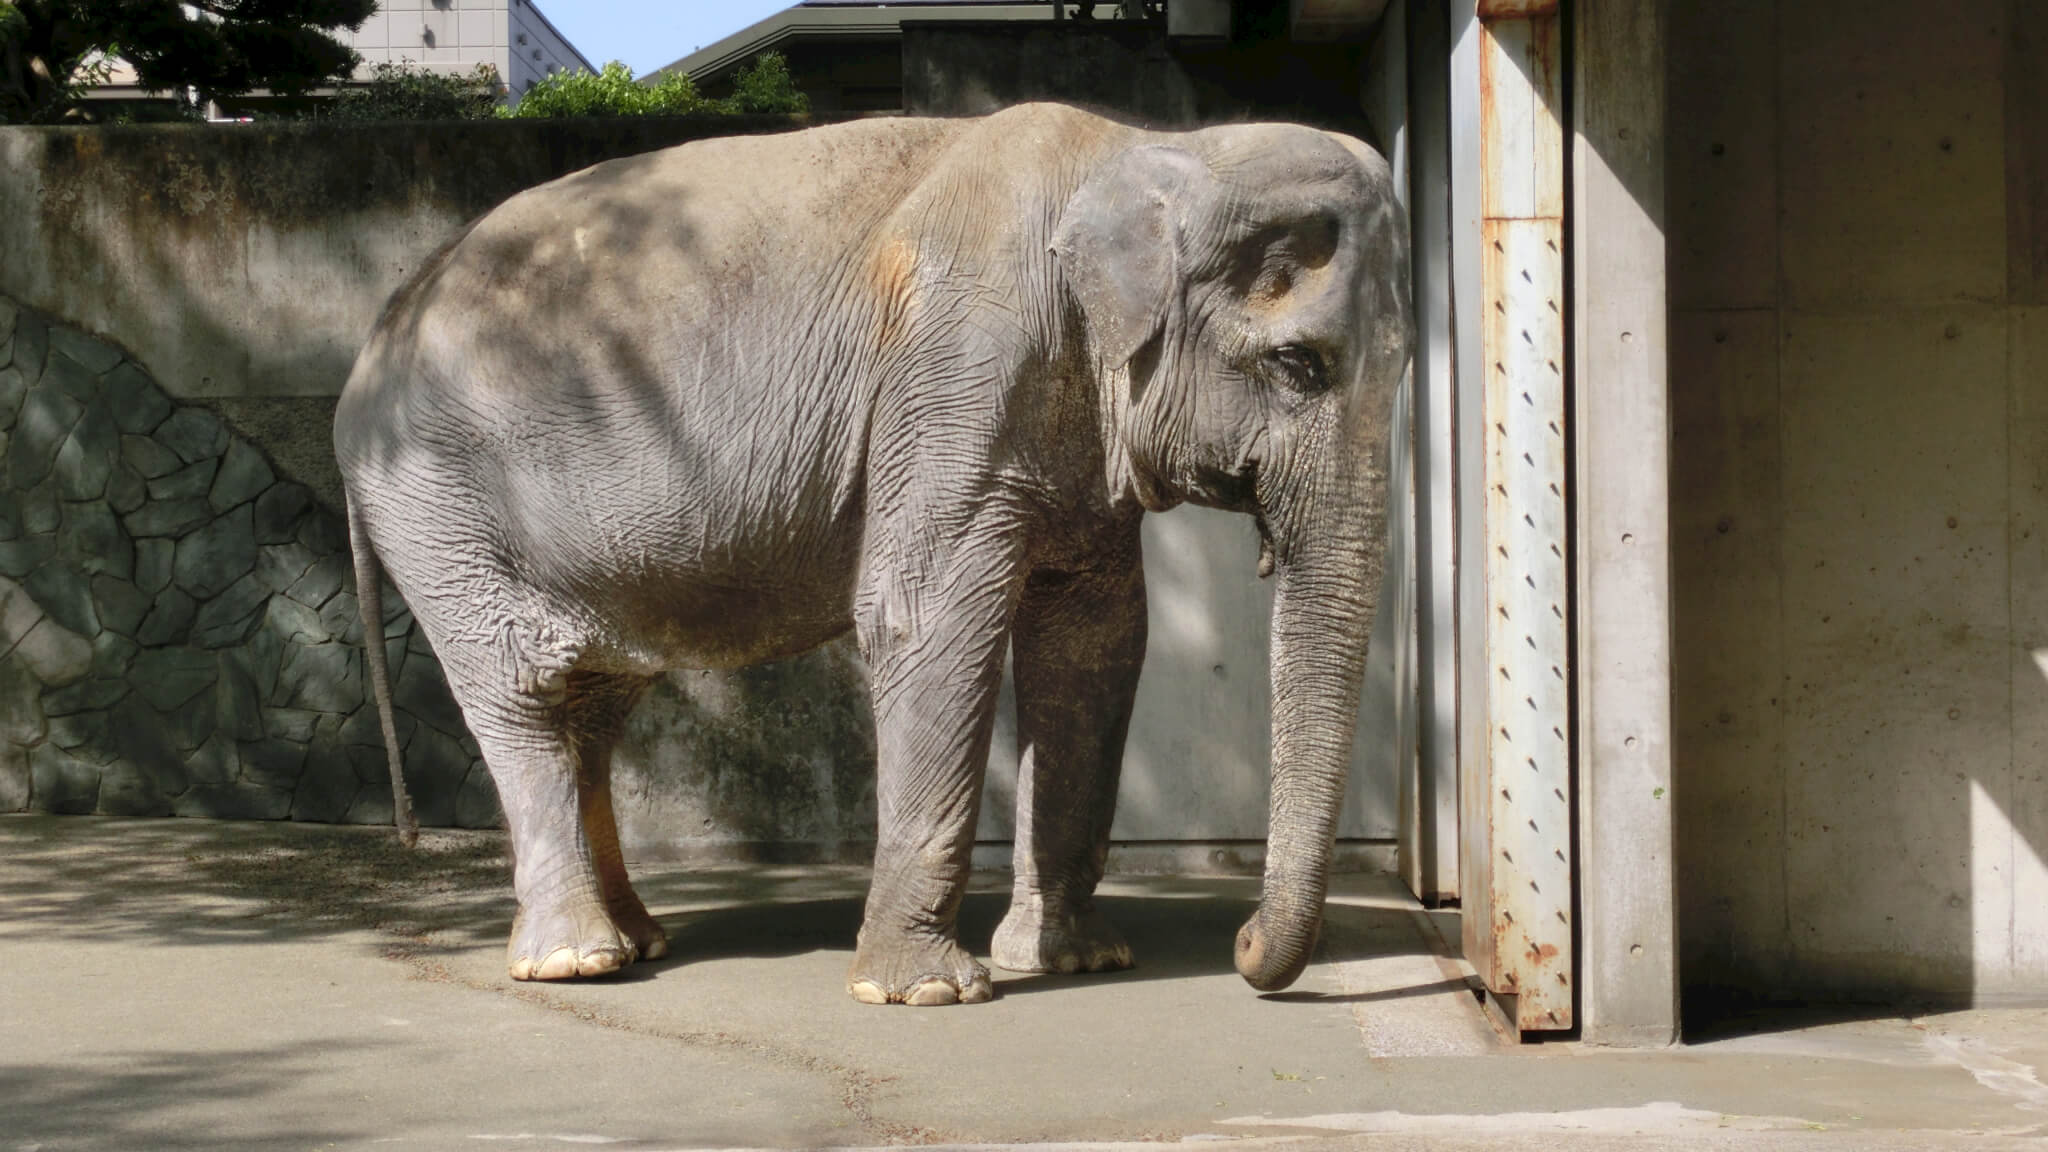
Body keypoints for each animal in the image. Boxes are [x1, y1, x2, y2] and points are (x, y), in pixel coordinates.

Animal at [344, 103, 1417, 1000]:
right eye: (1298, 364)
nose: (1243, 947)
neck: (1147, 148)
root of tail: (374, 337)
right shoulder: (956, 368)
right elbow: (927, 620)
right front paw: (925, 992)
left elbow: (1095, 647)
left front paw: (1073, 961)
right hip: (439, 506)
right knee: (523, 687)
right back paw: (578, 962)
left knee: (596, 706)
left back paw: (639, 940)